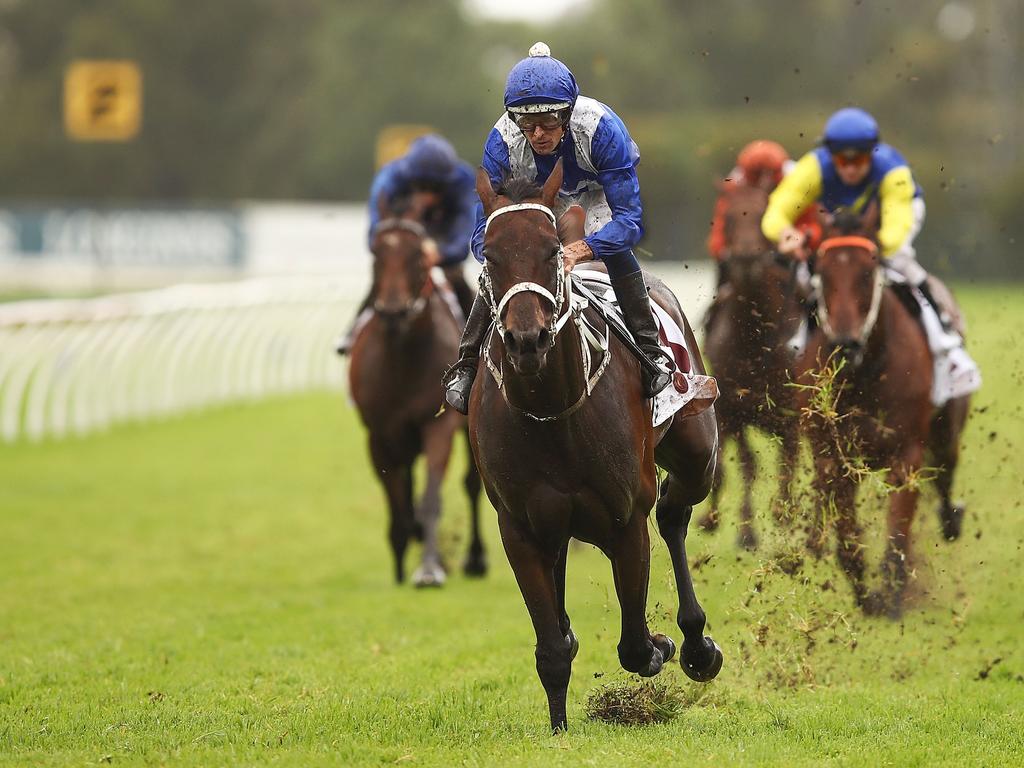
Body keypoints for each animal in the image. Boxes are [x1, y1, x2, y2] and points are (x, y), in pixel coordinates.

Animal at [348, 198, 487, 589]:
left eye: (417, 257)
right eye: (376, 254)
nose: (393, 311)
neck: (402, 360)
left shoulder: (436, 426)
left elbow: (431, 498)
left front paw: (429, 569)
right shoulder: (378, 433)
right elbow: (396, 500)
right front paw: (400, 561)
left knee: (472, 485)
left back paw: (475, 559)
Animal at [468, 163, 724, 733]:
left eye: (550, 252)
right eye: (489, 255)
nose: (527, 339)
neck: (552, 410)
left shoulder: (625, 521)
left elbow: (634, 646)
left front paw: (662, 645)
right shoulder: (520, 528)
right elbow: (551, 647)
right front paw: (559, 726)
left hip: (697, 453)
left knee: (673, 514)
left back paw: (697, 645)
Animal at [700, 183, 802, 548]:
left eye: (763, 215)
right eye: (729, 217)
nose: (745, 259)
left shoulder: (792, 413)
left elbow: (787, 461)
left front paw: (782, 515)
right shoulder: (733, 408)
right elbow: (746, 463)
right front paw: (743, 530)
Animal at [794, 211, 970, 618]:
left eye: (867, 271)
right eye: (822, 273)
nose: (845, 343)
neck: (865, 374)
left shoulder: (907, 453)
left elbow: (898, 535)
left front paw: (891, 598)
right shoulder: (834, 458)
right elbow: (847, 540)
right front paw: (866, 596)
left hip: (946, 427)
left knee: (946, 469)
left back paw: (951, 518)